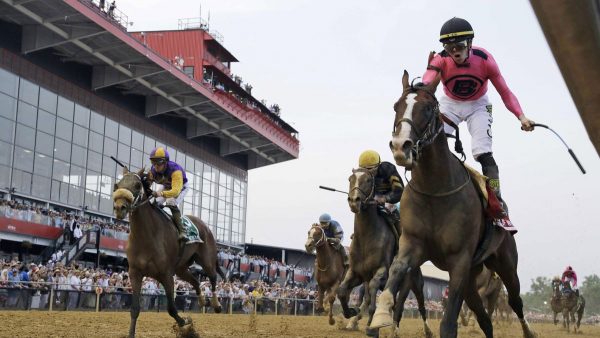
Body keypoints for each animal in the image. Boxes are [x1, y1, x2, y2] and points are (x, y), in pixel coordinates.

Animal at [112, 168, 225, 336]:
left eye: (138, 185)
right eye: (117, 185)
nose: (120, 208)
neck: (146, 237)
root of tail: (205, 226)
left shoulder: (166, 274)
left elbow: (171, 308)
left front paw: (185, 324)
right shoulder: (135, 273)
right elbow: (135, 309)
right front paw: (131, 334)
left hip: (207, 260)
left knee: (212, 278)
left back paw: (216, 304)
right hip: (181, 269)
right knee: (196, 281)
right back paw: (202, 300)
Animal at [338, 168, 432, 336]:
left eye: (368, 180)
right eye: (350, 179)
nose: (354, 200)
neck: (366, 237)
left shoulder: (382, 271)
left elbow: (373, 293)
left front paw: (372, 327)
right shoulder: (356, 273)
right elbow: (342, 290)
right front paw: (351, 312)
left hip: (413, 284)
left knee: (413, 306)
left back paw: (423, 331)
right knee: (392, 305)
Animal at [372, 72, 536, 338]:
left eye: (428, 108)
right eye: (396, 106)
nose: (400, 146)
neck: (435, 190)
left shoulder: (459, 261)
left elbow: (448, 323)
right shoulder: (412, 244)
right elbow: (396, 271)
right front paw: (380, 314)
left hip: (505, 265)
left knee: (515, 301)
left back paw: (529, 331)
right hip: (472, 278)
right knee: (484, 319)